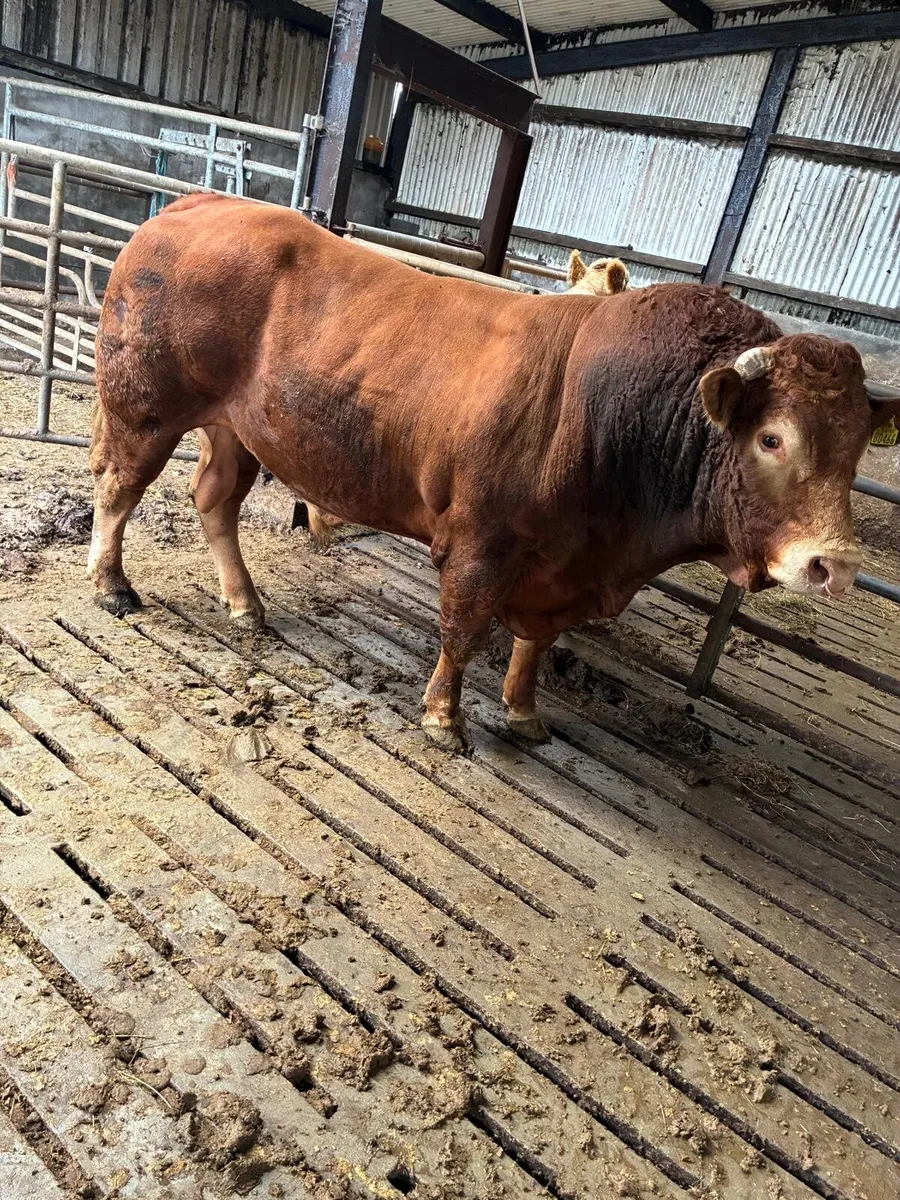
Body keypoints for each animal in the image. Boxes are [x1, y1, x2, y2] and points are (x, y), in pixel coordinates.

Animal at [88, 194, 900, 752]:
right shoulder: (483, 542)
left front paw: (525, 711)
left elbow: (537, 643)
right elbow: (464, 628)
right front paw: (444, 718)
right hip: (144, 407)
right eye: (772, 438)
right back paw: (112, 585)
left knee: (214, 501)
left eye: (858, 447)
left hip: (236, 428)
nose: (833, 564)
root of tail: (196, 204)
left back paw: (245, 604)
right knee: (118, 489)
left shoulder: (562, 565)